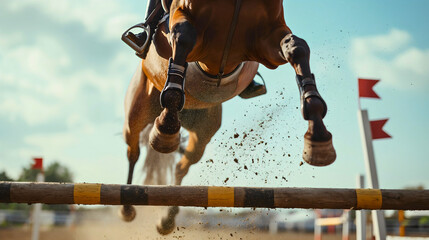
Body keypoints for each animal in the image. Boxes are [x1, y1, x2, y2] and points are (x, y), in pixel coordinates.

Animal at [119, 0, 334, 234]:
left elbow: (296, 47)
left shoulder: (267, 39)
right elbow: (183, 37)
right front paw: (166, 122)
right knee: (133, 152)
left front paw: (317, 134)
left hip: (203, 131)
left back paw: (166, 220)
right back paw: (128, 205)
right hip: (136, 114)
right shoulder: (183, 25)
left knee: (181, 167)